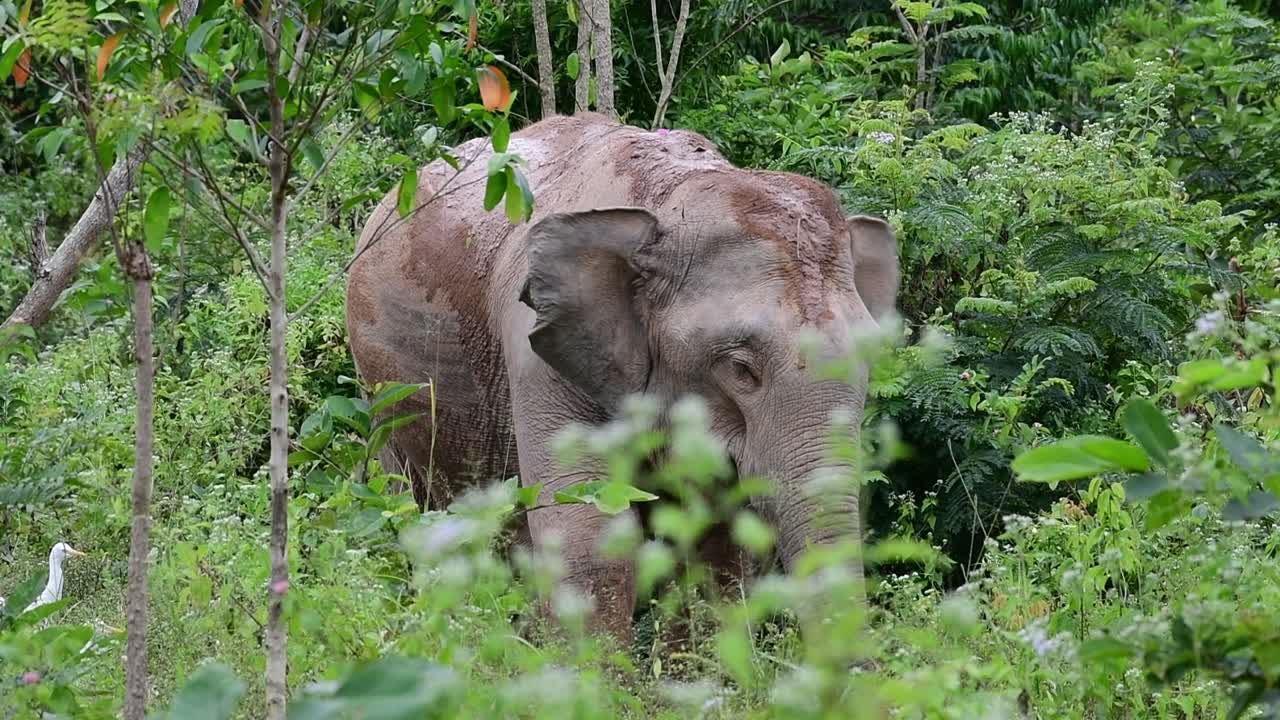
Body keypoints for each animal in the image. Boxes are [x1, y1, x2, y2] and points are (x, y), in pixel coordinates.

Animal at [345, 113, 899, 642]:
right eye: (741, 370)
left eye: (870, 362)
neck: (667, 200)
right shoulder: (538, 355)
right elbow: (589, 537)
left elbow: (713, 552)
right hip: (384, 390)